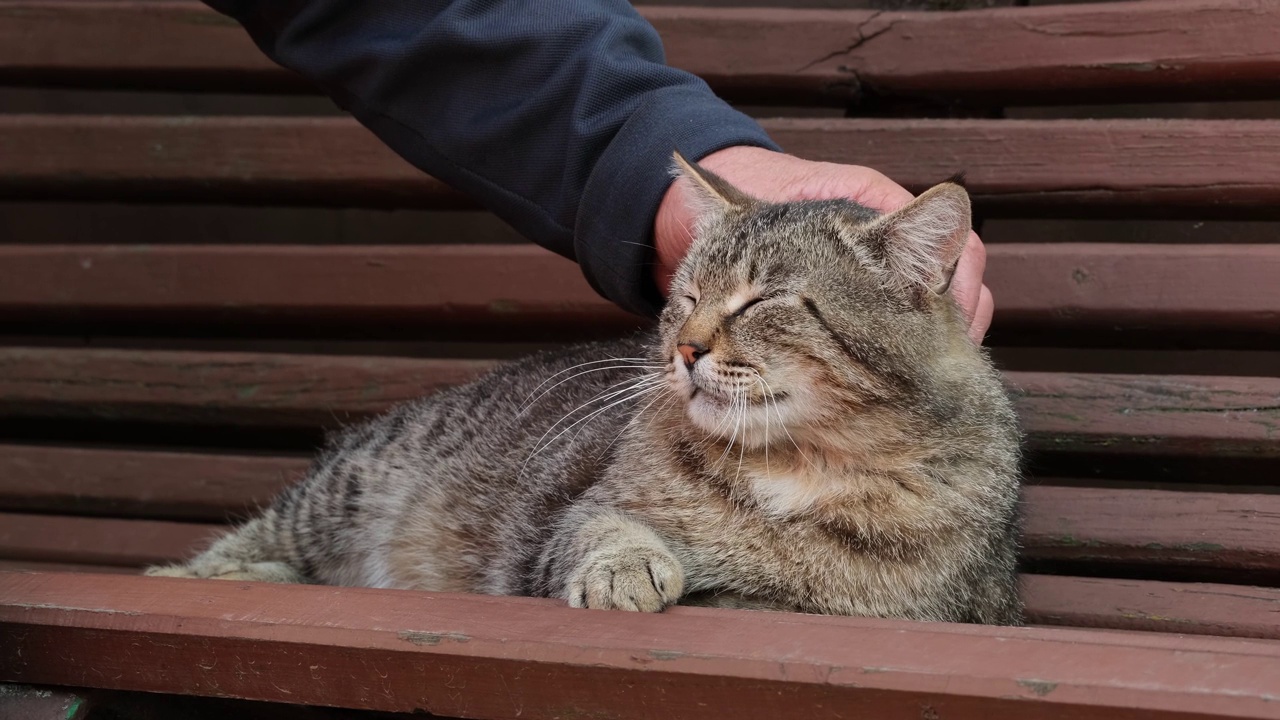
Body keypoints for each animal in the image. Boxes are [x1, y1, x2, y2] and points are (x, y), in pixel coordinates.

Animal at [145, 152, 1024, 622]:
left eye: (761, 300)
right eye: (687, 296)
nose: (684, 349)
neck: (796, 468)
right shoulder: (574, 515)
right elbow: (604, 530)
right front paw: (625, 571)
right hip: (348, 489)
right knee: (257, 537)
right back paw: (193, 578)